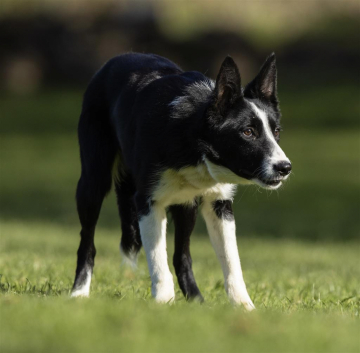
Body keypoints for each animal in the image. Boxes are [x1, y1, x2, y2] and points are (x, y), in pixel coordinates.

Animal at [71, 51, 292, 310]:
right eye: (248, 132)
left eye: (276, 132)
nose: (285, 168)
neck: (192, 138)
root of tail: (116, 60)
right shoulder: (148, 202)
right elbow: (158, 260)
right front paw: (163, 303)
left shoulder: (219, 204)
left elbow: (231, 262)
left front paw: (244, 308)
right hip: (92, 184)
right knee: (87, 243)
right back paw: (78, 293)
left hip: (186, 206)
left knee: (182, 256)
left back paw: (196, 301)